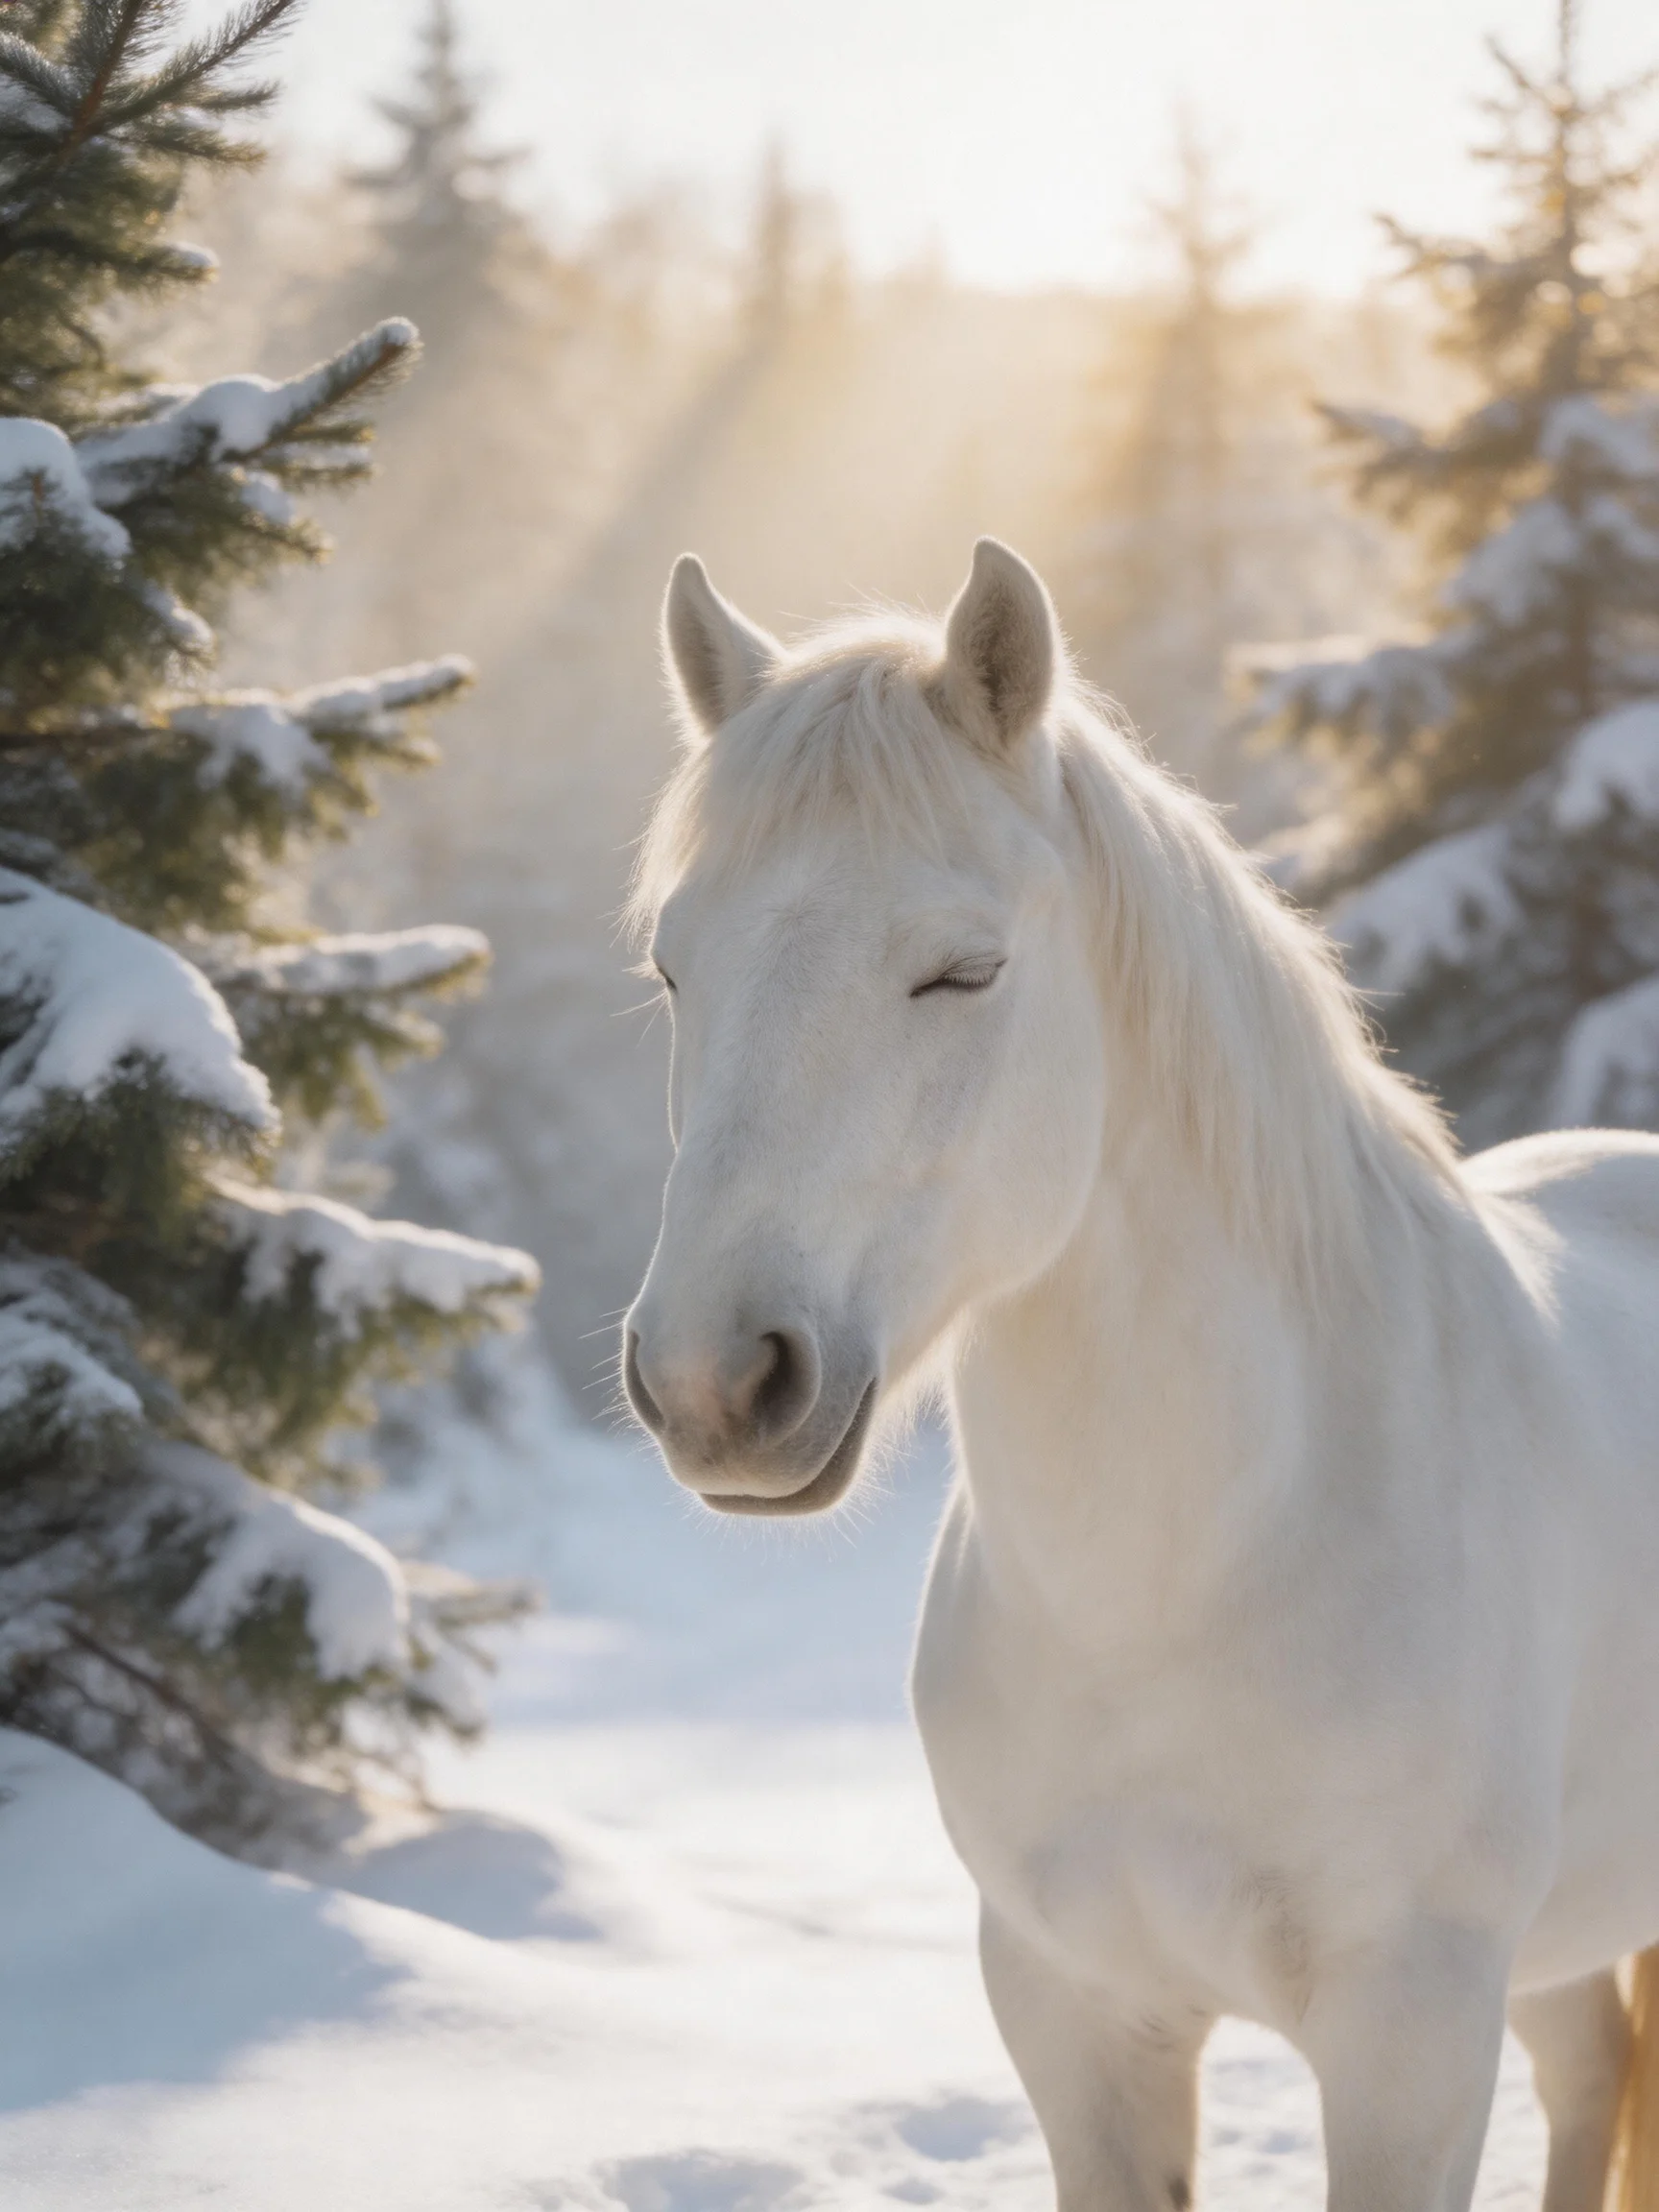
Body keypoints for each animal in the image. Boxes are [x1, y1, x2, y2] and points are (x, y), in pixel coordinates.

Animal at [622, 535, 1659, 2212]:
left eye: (963, 971)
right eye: (671, 968)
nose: (718, 1381)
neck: (1203, 1573)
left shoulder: (1411, 2038)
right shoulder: (1075, 2016)